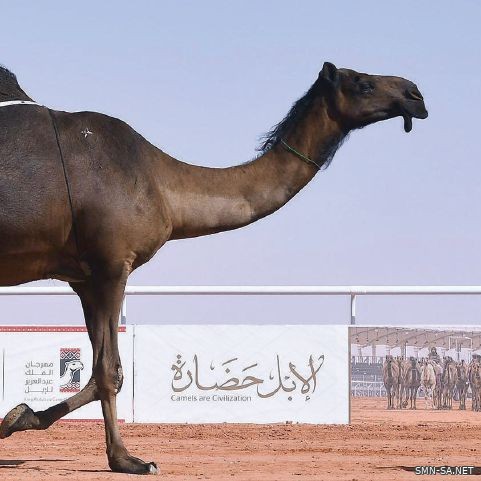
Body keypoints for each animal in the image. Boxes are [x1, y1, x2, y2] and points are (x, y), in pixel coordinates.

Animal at [0, 61, 428, 472]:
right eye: (363, 84)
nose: (415, 95)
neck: (160, 182)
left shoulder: (84, 278)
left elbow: (99, 371)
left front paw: (17, 417)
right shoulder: (111, 265)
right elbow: (111, 372)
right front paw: (127, 460)